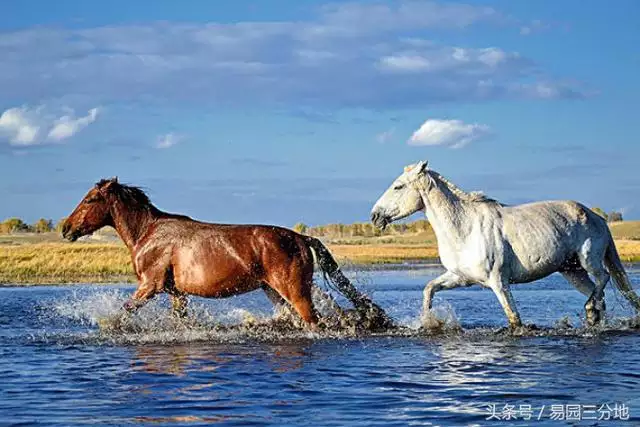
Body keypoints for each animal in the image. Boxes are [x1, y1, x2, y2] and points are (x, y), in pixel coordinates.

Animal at [62, 179, 390, 330]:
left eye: (90, 199)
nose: (66, 229)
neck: (149, 233)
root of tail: (300, 237)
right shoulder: (176, 293)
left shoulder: (150, 286)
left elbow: (125, 310)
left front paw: (107, 325)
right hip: (273, 290)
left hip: (295, 290)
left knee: (313, 321)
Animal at [370, 160, 640, 328]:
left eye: (398, 186)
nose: (375, 216)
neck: (464, 228)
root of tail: (597, 217)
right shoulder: (461, 277)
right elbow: (429, 288)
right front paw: (428, 321)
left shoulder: (499, 282)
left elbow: (514, 319)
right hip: (571, 270)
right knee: (598, 293)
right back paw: (593, 318)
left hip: (588, 259)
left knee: (603, 278)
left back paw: (590, 310)